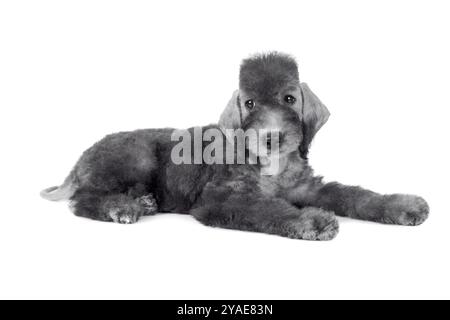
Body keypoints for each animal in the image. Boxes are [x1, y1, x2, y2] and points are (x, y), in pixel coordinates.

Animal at [41, 52, 428, 240]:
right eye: (250, 103)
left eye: (289, 98)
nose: (271, 137)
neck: (272, 168)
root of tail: (80, 160)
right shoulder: (220, 197)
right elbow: (265, 208)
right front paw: (311, 220)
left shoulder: (306, 187)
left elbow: (353, 194)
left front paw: (403, 205)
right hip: (136, 157)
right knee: (84, 199)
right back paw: (123, 207)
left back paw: (144, 202)